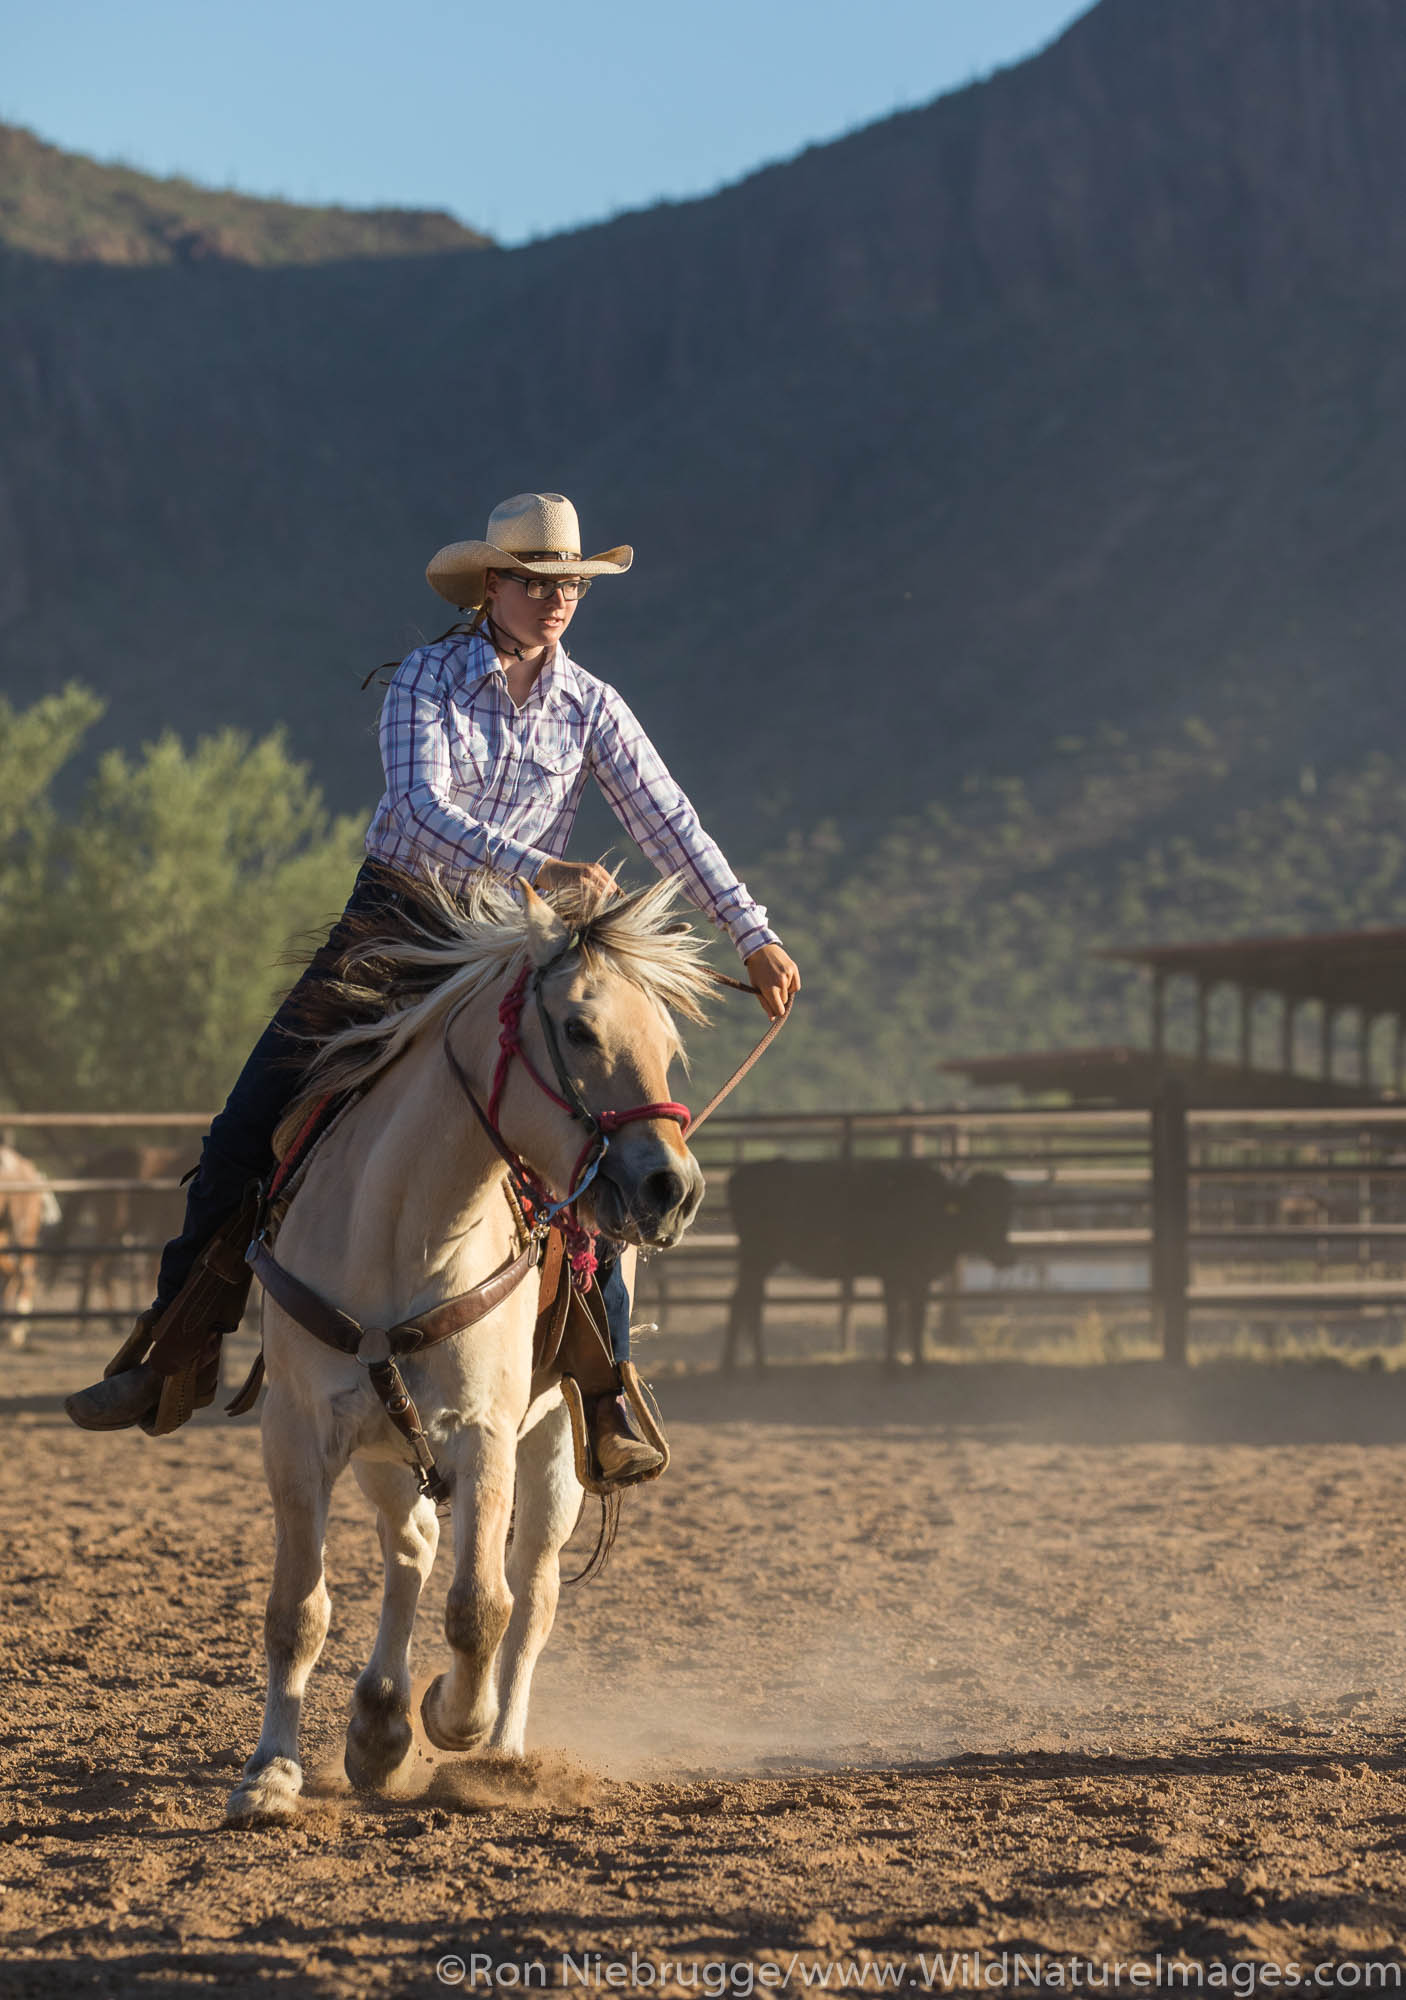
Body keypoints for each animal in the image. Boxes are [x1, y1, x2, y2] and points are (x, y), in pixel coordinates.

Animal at [230, 876, 716, 1832]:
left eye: (667, 1044)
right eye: (579, 1028)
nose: (672, 1189)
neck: (403, 1233)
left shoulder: (485, 1434)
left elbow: (481, 1609)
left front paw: (456, 1717)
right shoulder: (298, 1434)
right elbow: (296, 1609)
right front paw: (273, 1772)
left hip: (558, 1445)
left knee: (531, 1594)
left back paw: (497, 1749)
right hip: (384, 1448)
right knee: (412, 1546)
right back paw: (378, 1724)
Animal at [728, 1152, 1012, 1368]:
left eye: (1006, 1210)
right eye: (979, 1208)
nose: (1006, 1255)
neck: (934, 1205)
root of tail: (745, 1172)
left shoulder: (919, 1279)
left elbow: (916, 1318)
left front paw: (919, 1364)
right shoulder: (892, 1275)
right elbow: (895, 1318)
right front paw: (891, 1368)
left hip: (762, 1260)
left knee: (747, 1301)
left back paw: (747, 1365)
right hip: (756, 1256)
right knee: (744, 1301)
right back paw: (744, 1367)